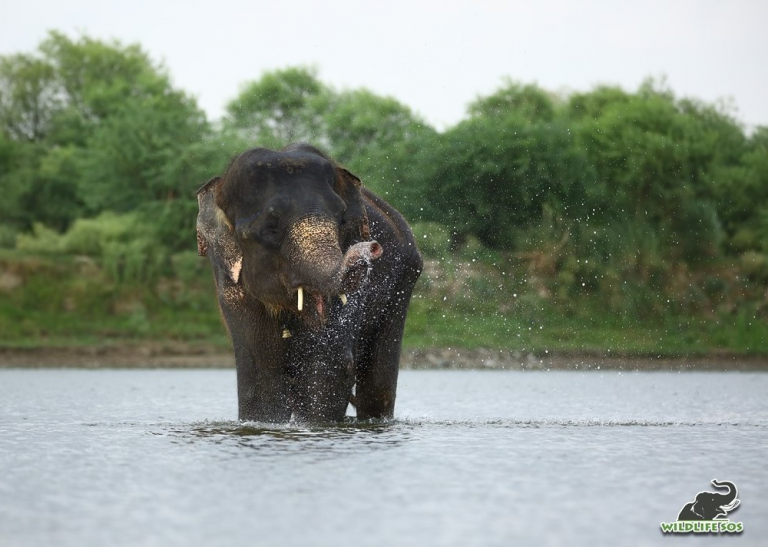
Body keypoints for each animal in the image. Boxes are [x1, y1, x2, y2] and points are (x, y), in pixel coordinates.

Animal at [195, 142, 424, 424]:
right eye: (271, 227)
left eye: (342, 217)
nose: (372, 246)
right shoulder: (230, 283)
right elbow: (261, 371)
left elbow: (329, 365)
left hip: (403, 283)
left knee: (378, 379)